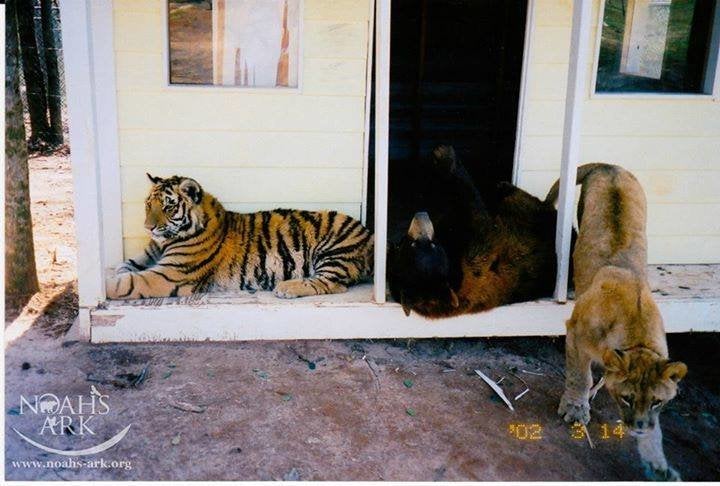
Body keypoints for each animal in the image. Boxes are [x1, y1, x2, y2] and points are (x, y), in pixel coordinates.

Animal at [109, 173, 376, 298]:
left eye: (168, 207)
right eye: (148, 205)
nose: (148, 228)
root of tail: (371, 236)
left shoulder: (166, 276)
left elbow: (125, 284)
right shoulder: (149, 257)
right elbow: (125, 267)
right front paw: (118, 271)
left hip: (335, 248)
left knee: (331, 283)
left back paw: (286, 287)